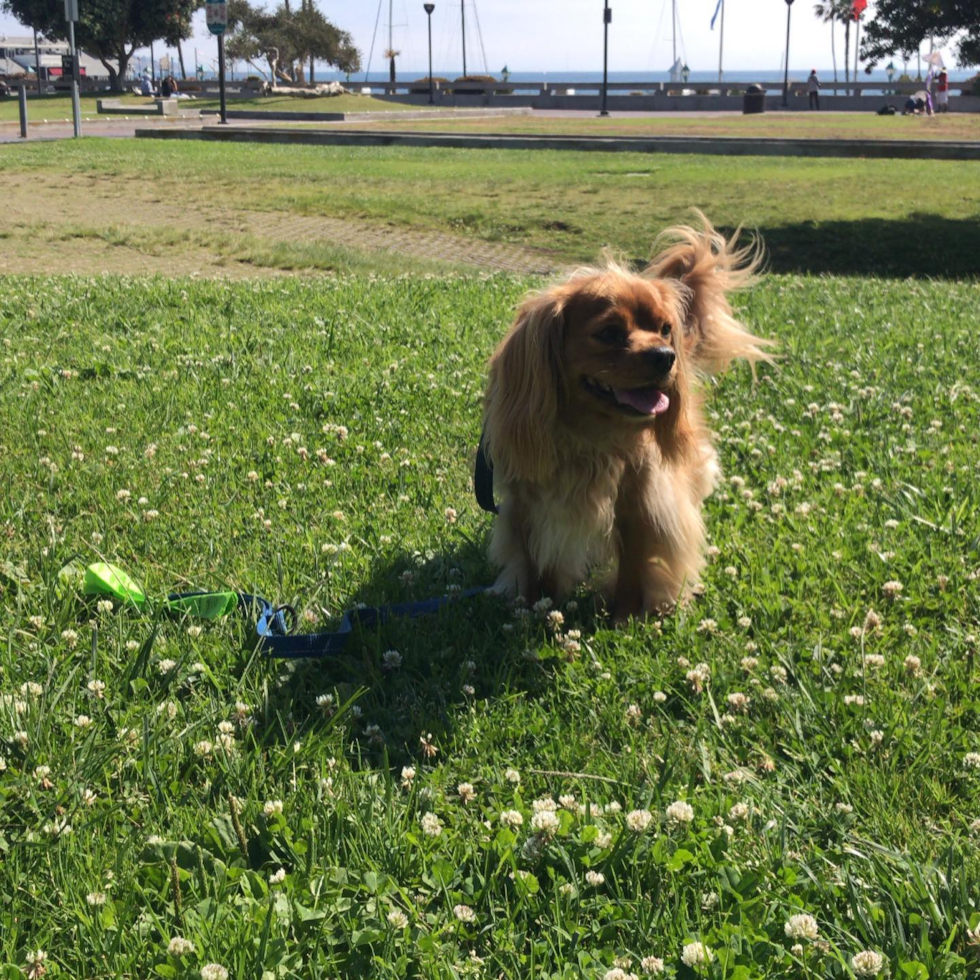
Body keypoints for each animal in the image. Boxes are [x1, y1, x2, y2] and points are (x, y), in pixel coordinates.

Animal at [482, 218, 772, 624]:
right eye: (609, 333)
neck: (589, 436)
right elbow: (534, 561)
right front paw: (536, 605)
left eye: (665, 329)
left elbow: (634, 565)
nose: (665, 356)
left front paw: (625, 615)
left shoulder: (641, 503)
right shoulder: (528, 504)